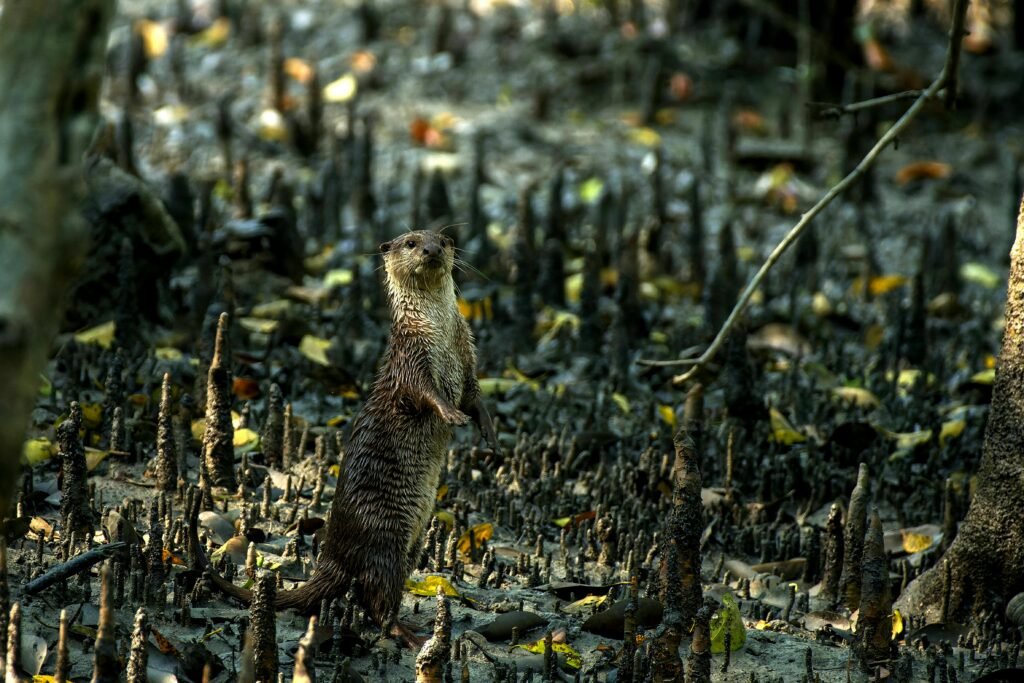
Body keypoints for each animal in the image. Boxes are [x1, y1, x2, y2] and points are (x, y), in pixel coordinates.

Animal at [191, 229, 499, 643]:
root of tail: (333, 556)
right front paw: (450, 413)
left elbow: (475, 395)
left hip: (414, 543)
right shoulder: (411, 356)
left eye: (443, 240)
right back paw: (411, 634)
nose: (432, 249)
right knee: (377, 596)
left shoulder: (468, 351)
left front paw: (489, 433)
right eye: (411, 242)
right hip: (384, 537)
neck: (439, 336)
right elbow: (424, 392)